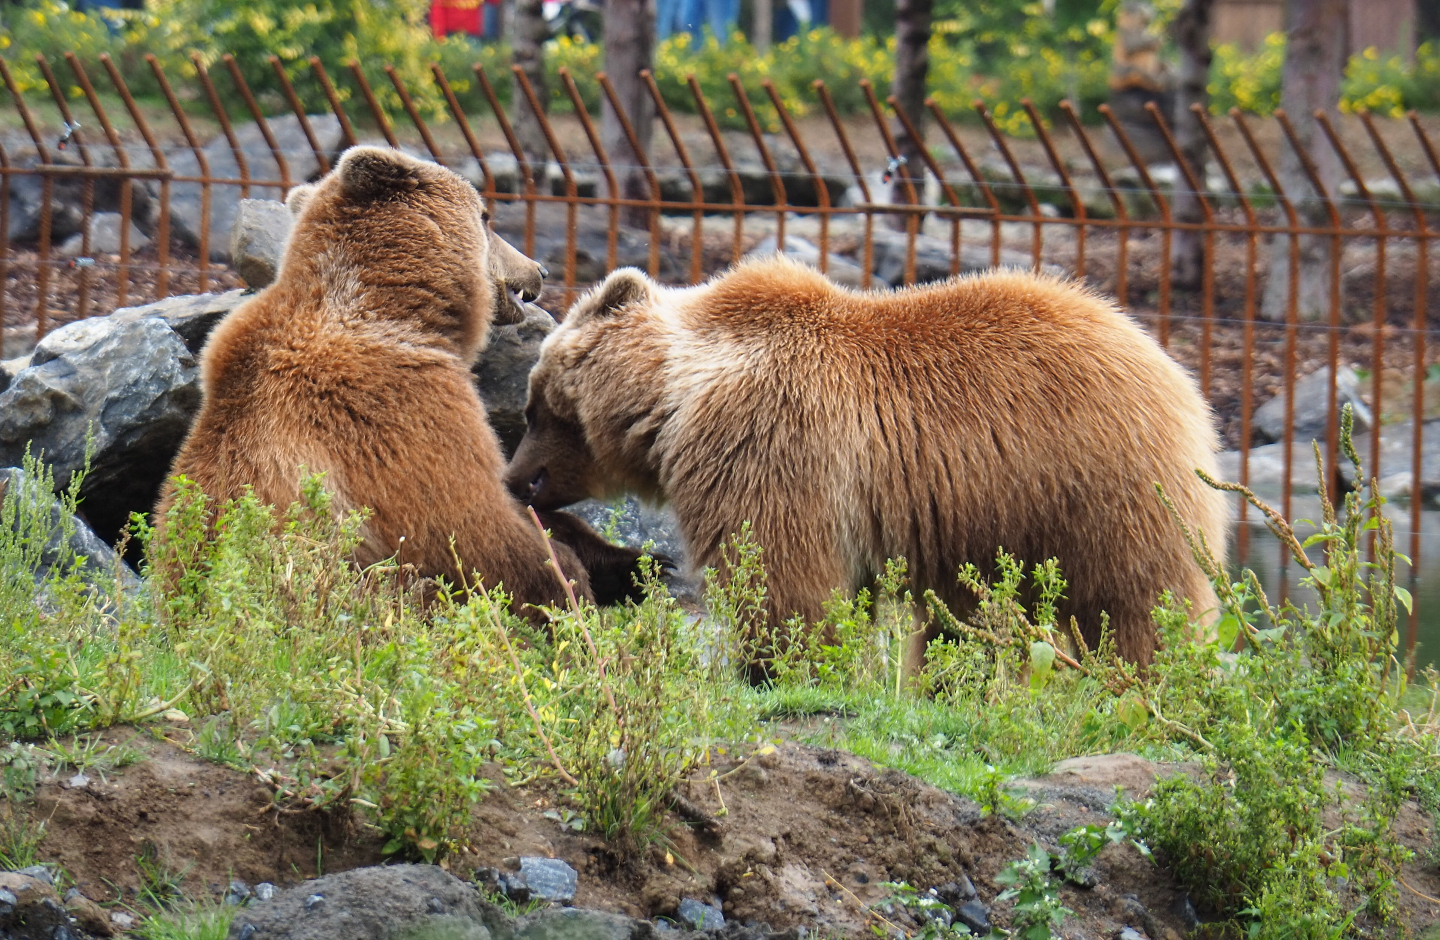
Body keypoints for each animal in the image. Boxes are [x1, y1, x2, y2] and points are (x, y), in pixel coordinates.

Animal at [155, 145, 648, 612]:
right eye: (486, 217)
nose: (540, 270)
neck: (398, 309)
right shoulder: (393, 407)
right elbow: (470, 527)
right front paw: (573, 580)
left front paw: (630, 563)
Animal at [505, 255, 1229, 668]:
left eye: (535, 408)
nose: (515, 479)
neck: (679, 394)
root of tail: (1179, 374)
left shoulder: (771, 438)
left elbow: (784, 580)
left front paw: (775, 669)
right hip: (991, 525)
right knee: (963, 624)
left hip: (1101, 485)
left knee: (1136, 604)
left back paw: (1150, 686)